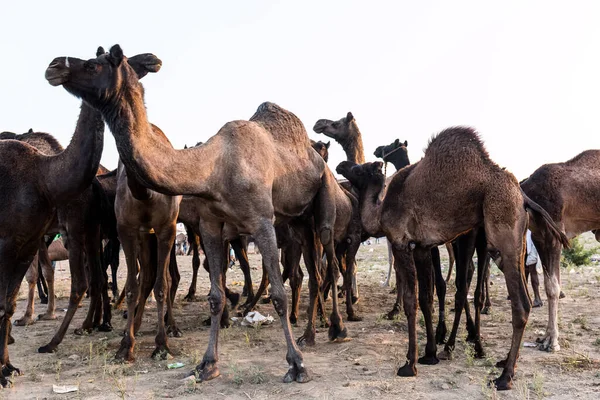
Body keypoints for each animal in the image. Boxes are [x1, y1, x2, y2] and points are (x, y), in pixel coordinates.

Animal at [45, 45, 346, 382]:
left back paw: (335, 329)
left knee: (328, 260)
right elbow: (214, 296)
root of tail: (315, 157)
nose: (54, 66)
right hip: (297, 222)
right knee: (314, 271)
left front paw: (296, 364)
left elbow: (279, 295)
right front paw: (208, 364)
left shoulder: (261, 222)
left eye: (93, 65)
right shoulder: (211, 224)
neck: (214, 169)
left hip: (323, 197)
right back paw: (309, 334)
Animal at [336, 126, 568, 390]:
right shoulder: (422, 247)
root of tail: (522, 196)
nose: (341, 165)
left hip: (502, 229)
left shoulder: (401, 242)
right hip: (514, 243)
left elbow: (411, 301)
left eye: (358, 169)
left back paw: (504, 376)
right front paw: (429, 353)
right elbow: (426, 297)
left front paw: (409, 364)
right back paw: (500, 360)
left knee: (520, 303)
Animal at [520, 151, 600, 354]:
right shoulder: (540, 237)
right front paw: (545, 338)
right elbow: (549, 284)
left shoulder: (554, 235)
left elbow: (553, 287)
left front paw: (553, 342)